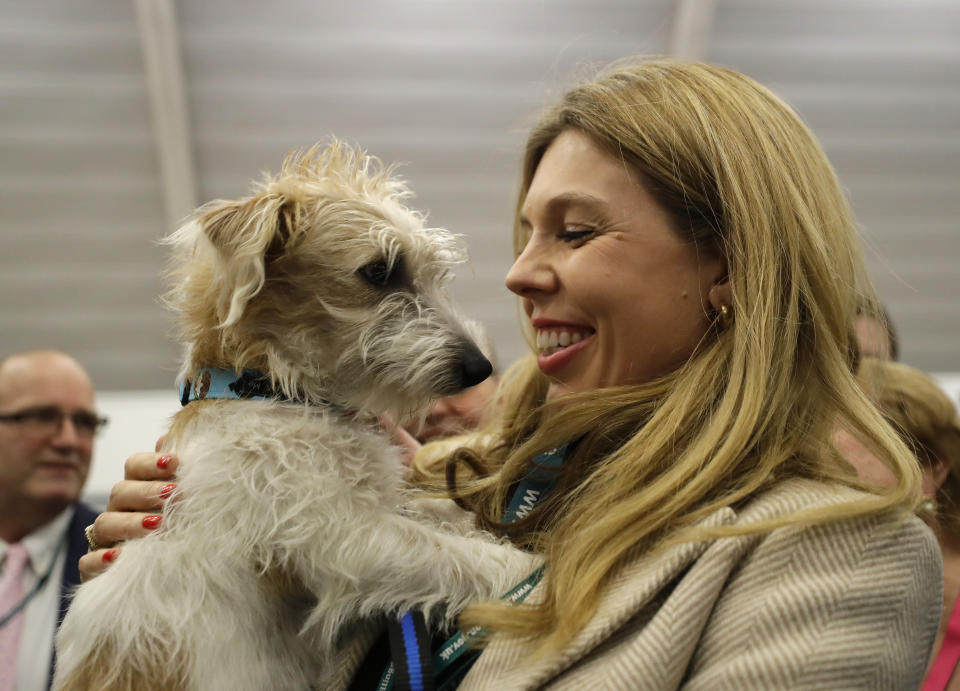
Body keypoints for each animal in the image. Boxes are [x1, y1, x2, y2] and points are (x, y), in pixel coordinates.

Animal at [52, 142, 536, 691]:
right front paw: (537, 574)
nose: (480, 368)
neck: (272, 394)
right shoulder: (348, 538)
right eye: (378, 271)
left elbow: (439, 510)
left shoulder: (374, 502)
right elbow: (472, 557)